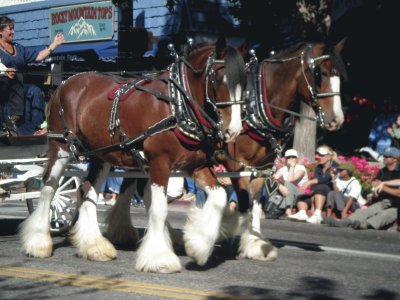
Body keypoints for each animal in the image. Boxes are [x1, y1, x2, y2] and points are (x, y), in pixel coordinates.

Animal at [19, 40, 247, 274]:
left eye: (245, 81)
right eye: (219, 78)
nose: (234, 130)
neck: (177, 104)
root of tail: (64, 84)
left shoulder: (195, 165)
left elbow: (219, 196)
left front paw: (199, 245)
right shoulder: (159, 162)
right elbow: (158, 208)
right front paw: (159, 258)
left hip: (100, 156)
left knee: (86, 190)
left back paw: (94, 246)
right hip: (61, 147)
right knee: (49, 187)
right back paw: (38, 242)